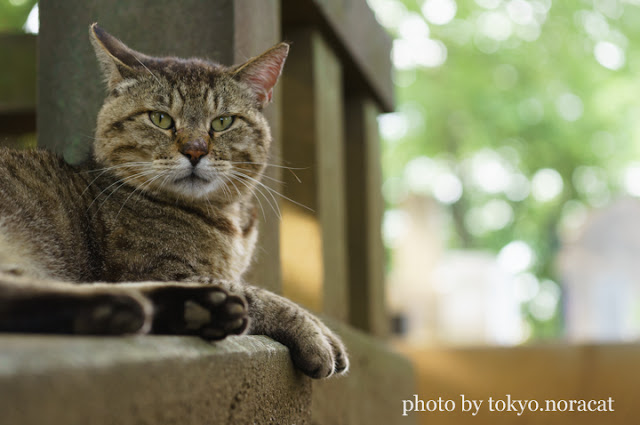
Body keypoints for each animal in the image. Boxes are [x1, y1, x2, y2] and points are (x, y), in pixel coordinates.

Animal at [0, 24, 350, 380]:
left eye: (222, 122)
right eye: (160, 118)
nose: (195, 150)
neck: (227, 222)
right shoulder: (153, 268)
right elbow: (261, 295)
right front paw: (316, 333)